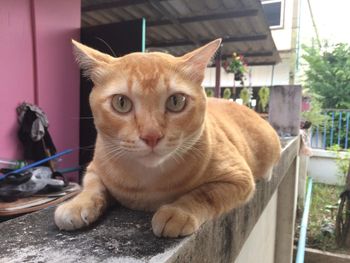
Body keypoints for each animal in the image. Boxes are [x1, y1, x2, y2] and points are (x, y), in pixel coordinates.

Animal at [54, 39, 278, 239]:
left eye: (176, 101)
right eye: (121, 102)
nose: (151, 135)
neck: (148, 181)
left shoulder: (239, 178)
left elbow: (205, 193)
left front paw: (178, 212)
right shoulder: (94, 168)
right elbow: (92, 186)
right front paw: (76, 204)